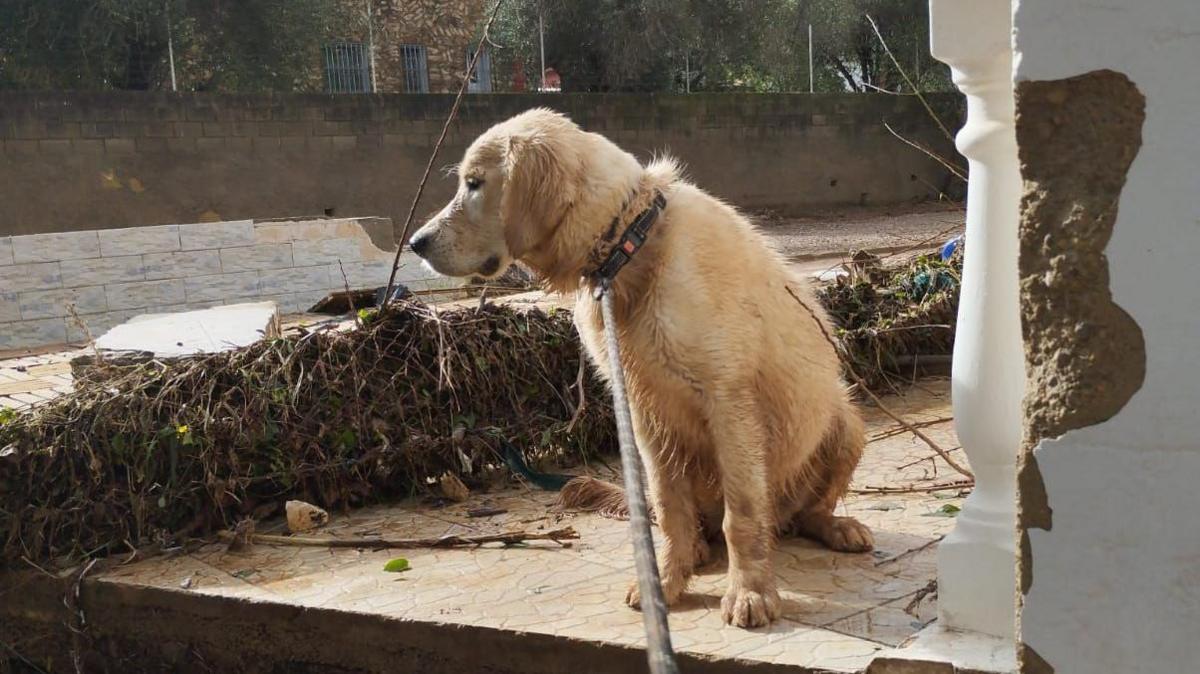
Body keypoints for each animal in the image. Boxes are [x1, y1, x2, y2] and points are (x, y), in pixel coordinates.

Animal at [410, 107, 873, 628]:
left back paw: (837, 526)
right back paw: (696, 550)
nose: (416, 243)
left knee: (801, 513)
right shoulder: (646, 413)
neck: (629, 247)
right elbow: (669, 509)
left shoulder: (729, 401)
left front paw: (750, 592)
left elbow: (743, 513)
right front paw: (666, 584)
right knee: (684, 519)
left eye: (474, 183)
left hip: (847, 421)